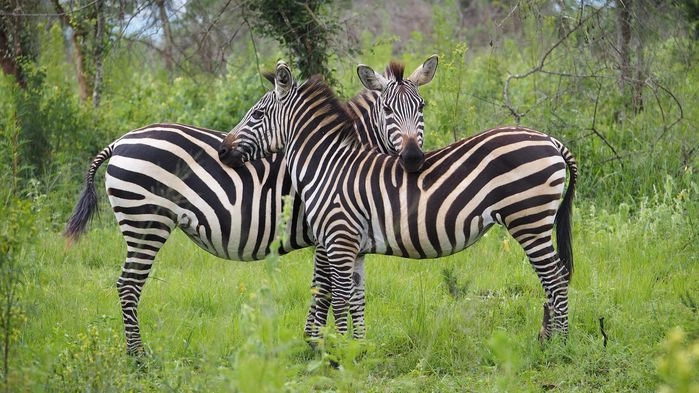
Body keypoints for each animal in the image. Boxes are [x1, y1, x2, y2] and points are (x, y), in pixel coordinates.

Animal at [64, 56, 438, 354]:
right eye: (387, 111)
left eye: (421, 108)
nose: (413, 158)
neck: (335, 155)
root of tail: (119, 141)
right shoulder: (326, 233)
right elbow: (324, 288)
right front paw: (315, 345)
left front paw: (317, 342)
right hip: (145, 223)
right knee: (128, 285)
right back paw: (139, 357)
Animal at [220, 61, 580, 340]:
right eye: (387, 109)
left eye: (257, 114)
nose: (223, 151)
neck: (327, 164)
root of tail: (550, 140)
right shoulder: (356, 248)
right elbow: (356, 298)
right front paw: (356, 350)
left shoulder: (338, 240)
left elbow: (337, 297)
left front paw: (335, 356)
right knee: (556, 277)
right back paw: (547, 338)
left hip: (528, 220)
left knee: (555, 278)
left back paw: (559, 345)